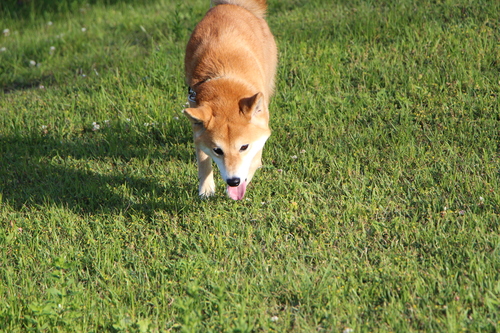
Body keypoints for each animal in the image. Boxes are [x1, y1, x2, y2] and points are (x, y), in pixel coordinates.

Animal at [184, 0, 278, 200]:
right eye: (217, 150)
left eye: (244, 147)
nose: (233, 181)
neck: (224, 78)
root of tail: (231, 5)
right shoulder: (197, 126)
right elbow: (203, 160)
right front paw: (206, 188)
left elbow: (253, 161)